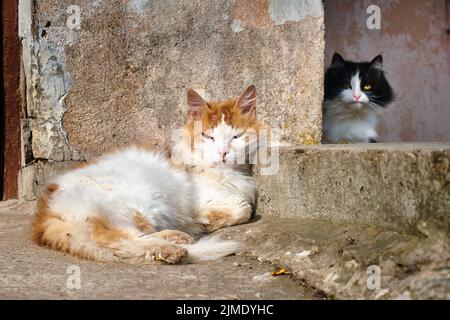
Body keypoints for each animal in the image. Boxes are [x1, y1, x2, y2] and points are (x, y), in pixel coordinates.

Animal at [32, 85, 260, 264]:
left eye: (236, 136)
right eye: (209, 137)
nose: (223, 152)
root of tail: (45, 213)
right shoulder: (205, 201)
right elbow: (243, 209)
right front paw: (206, 222)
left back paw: (176, 238)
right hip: (137, 202)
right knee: (118, 239)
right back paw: (173, 250)